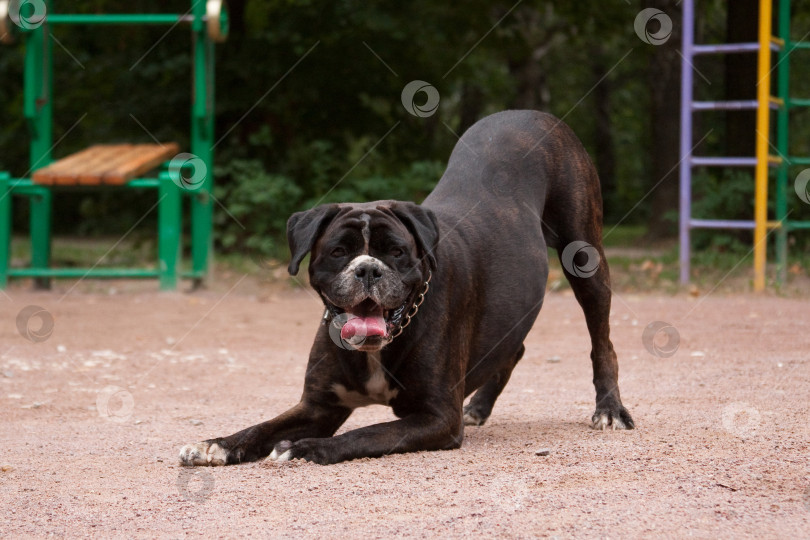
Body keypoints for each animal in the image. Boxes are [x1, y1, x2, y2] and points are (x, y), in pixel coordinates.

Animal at [180, 107, 636, 466]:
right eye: (339, 252)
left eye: (397, 252)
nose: (368, 270)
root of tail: (533, 113)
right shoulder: (319, 405)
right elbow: (262, 427)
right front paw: (216, 444)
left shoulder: (436, 418)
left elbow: (367, 434)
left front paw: (305, 448)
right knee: (513, 347)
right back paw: (480, 406)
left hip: (585, 260)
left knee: (603, 343)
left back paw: (610, 409)